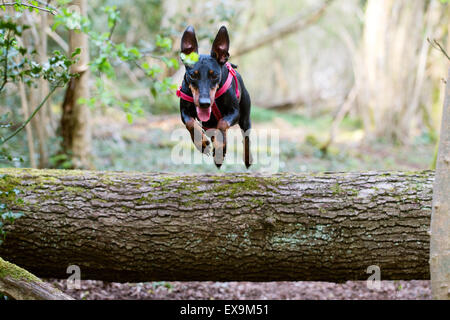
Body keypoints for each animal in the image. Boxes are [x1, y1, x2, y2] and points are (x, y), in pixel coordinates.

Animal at [177, 25, 253, 168]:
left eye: (215, 75)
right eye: (193, 75)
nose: (204, 103)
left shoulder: (235, 112)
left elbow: (222, 123)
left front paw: (219, 148)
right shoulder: (184, 112)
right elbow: (190, 123)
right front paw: (201, 144)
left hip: (245, 118)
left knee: (245, 137)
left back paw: (245, 158)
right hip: (209, 125)